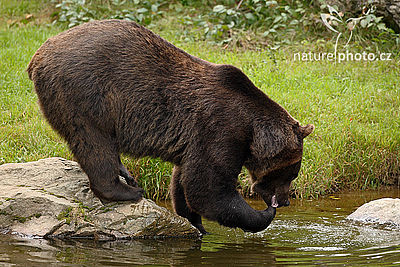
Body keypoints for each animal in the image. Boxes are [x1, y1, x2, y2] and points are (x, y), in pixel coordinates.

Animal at [27, 19, 316, 233]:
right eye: (292, 173)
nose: (286, 201)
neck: (253, 131)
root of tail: (37, 55)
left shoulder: (196, 140)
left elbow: (184, 181)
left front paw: (197, 224)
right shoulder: (222, 128)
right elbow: (208, 186)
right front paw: (262, 214)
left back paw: (126, 173)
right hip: (85, 94)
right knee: (93, 141)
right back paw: (127, 189)